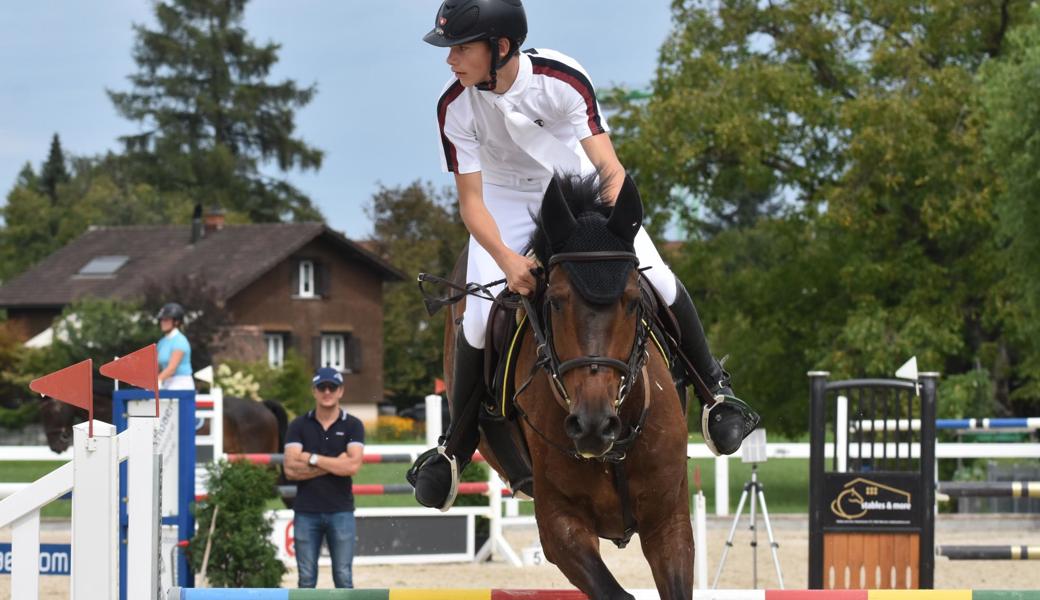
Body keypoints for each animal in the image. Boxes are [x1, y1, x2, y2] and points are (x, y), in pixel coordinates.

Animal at [445, 172, 690, 598]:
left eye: (632, 301)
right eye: (556, 301)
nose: (593, 426)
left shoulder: (670, 521)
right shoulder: (561, 527)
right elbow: (613, 592)